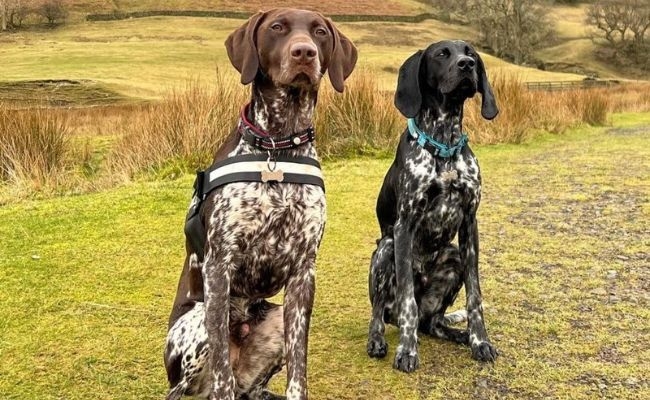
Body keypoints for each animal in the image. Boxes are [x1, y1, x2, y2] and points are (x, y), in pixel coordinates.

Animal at [162, 7, 354, 400]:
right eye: (277, 27)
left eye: (320, 32)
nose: (304, 53)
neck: (277, 149)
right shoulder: (219, 266)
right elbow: (221, 372)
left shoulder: (303, 272)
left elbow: (299, 368)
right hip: (197, 326)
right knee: (194, 387)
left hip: (276, 320)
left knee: (250, 388)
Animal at [368, 40, 498, 372]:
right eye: (442, 54)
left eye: (470, 53)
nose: (467, 65)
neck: (444, 144)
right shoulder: (403, 226)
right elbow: (407, 303)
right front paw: (407, 351)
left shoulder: (469, 224)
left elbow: (475, 296)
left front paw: (480, 341)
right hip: (385, 248)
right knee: (383, 313)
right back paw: (377, 340)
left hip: (453, 257)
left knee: (432, 323)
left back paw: (458, 334)